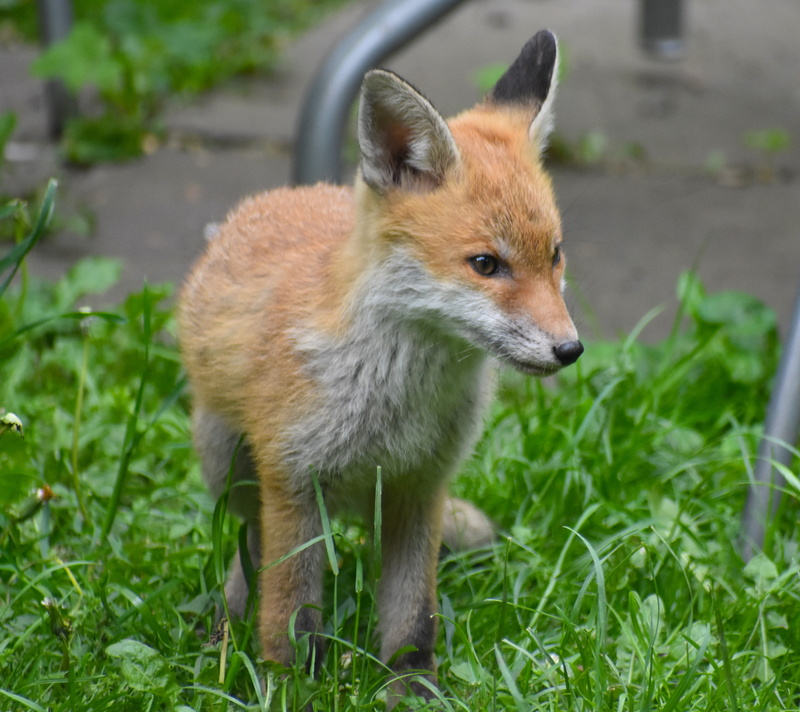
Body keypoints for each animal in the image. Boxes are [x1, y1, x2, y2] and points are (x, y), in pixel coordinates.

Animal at [178, 29, 582, 703]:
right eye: (486, 264)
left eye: (554, 256)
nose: (570, 349)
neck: (395, 408)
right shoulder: (292, 484)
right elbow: (289, 617)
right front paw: (290, 689)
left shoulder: (422, 486)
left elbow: (413, 620)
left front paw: (414, 695)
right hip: (227, 465)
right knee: (245, 550)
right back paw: (225, 633)